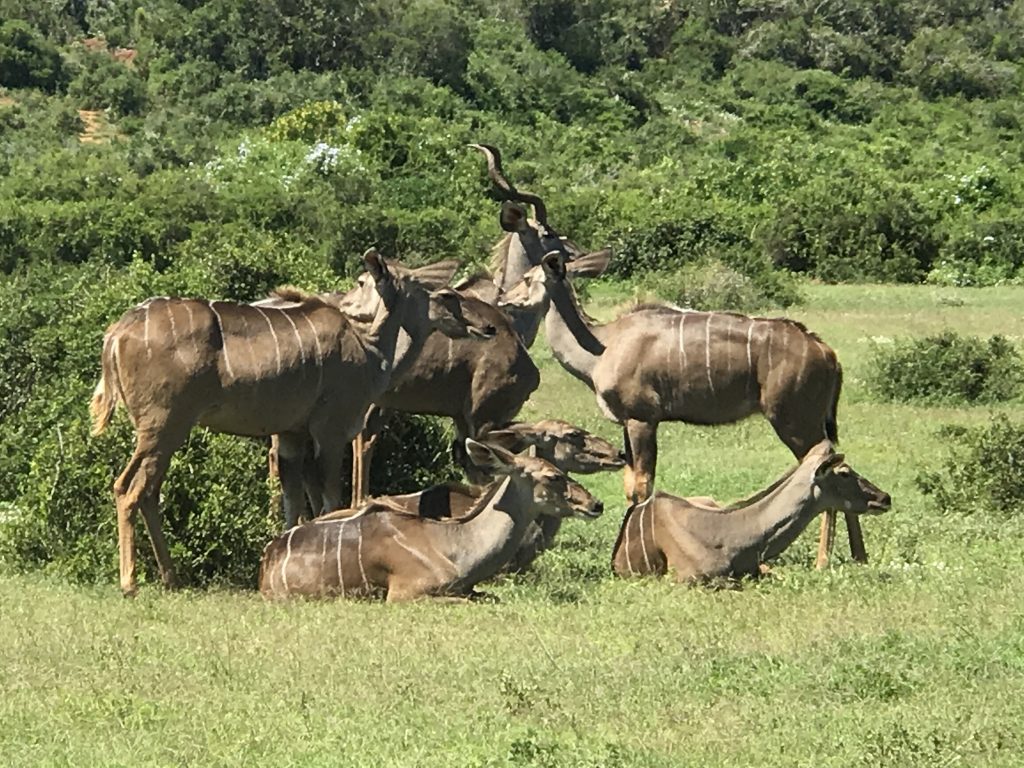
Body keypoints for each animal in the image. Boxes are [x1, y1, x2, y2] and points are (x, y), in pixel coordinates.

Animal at [90, 249, 485, 593]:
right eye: (442, 294)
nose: (482, 327)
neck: (370, 349)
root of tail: (117, 333)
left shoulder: (293, 434)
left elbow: (293, 501)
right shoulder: (330, 430)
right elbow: (330, 500)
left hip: (164, 431)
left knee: (147, 491)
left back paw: (171, 579)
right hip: (163, 426)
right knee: (128, 488)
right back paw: (130, 583)